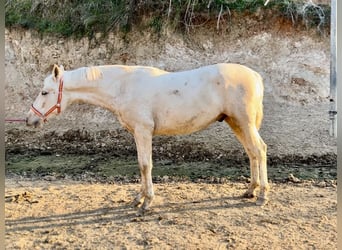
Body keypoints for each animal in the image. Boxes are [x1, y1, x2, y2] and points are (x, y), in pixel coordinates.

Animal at [26, 62, 270, 211]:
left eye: (44, 92)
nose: (30, 120)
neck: (123, 87)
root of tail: (255, 75)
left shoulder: (143, 131)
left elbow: (145, 165)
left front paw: (146, 202)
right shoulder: (137, 133)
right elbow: (141, 164)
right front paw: (138, 198)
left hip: (244, 123)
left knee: (260, 150)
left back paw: (262, 195)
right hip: (236, 123)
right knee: (251, 152)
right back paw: (250, 190)